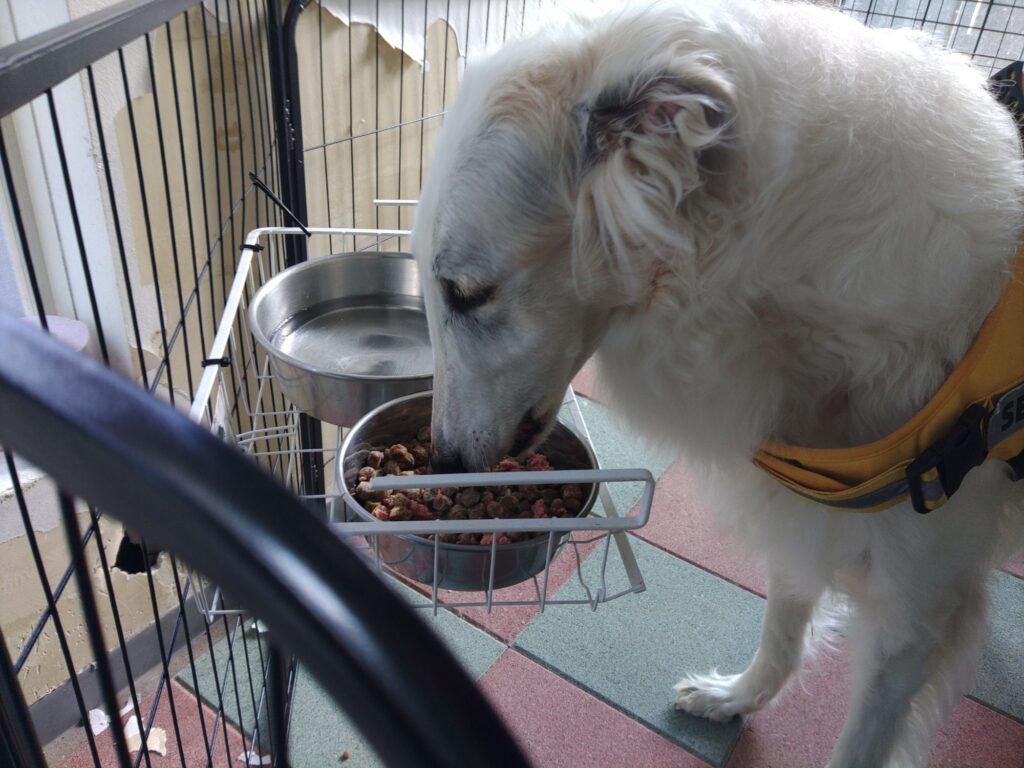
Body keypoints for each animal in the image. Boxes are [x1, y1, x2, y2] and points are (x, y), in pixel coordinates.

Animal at [410, 2, 1024, 765]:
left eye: (467, 293)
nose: (442, 462)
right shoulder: (803, 513)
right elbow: (783, 624)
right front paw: (737, 698)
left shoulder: (914, 611)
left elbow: (861, 735)